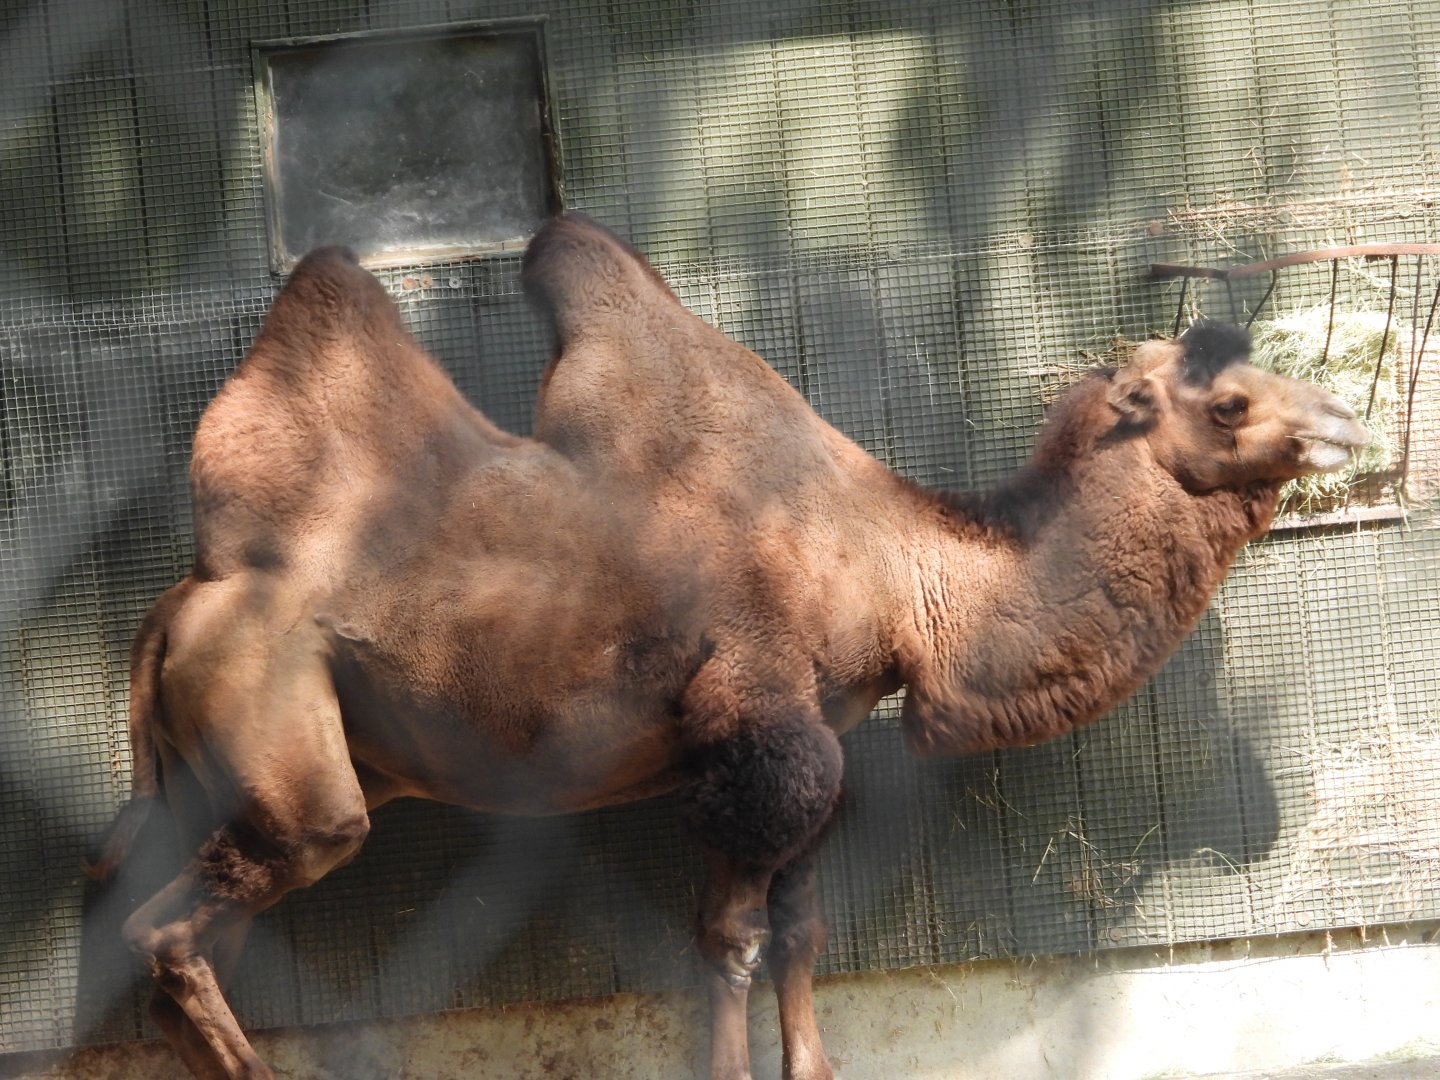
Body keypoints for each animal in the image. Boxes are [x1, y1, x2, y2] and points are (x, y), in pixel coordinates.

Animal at [89, 213, 1369, 1080]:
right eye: (1228, 403)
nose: (1347, 420)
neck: (903, 572)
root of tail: (176, 612)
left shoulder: (814, 735)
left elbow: (801, 932)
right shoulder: (761, 729)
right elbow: (734, 939)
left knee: (176, 945)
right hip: (295, 766)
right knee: (173, 929)